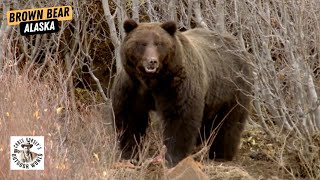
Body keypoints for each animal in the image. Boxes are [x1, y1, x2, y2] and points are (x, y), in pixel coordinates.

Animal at [111, 19, 254, 167]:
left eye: (159, 43)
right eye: (142, 43)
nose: (152, 61)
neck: (152, 82)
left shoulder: (176, 86)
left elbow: (179, 118)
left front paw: (173, 157)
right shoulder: (132, 87)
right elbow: (130, 119)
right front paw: (130, 155)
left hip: (233, 88)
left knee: (228, 122)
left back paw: (221, 153)